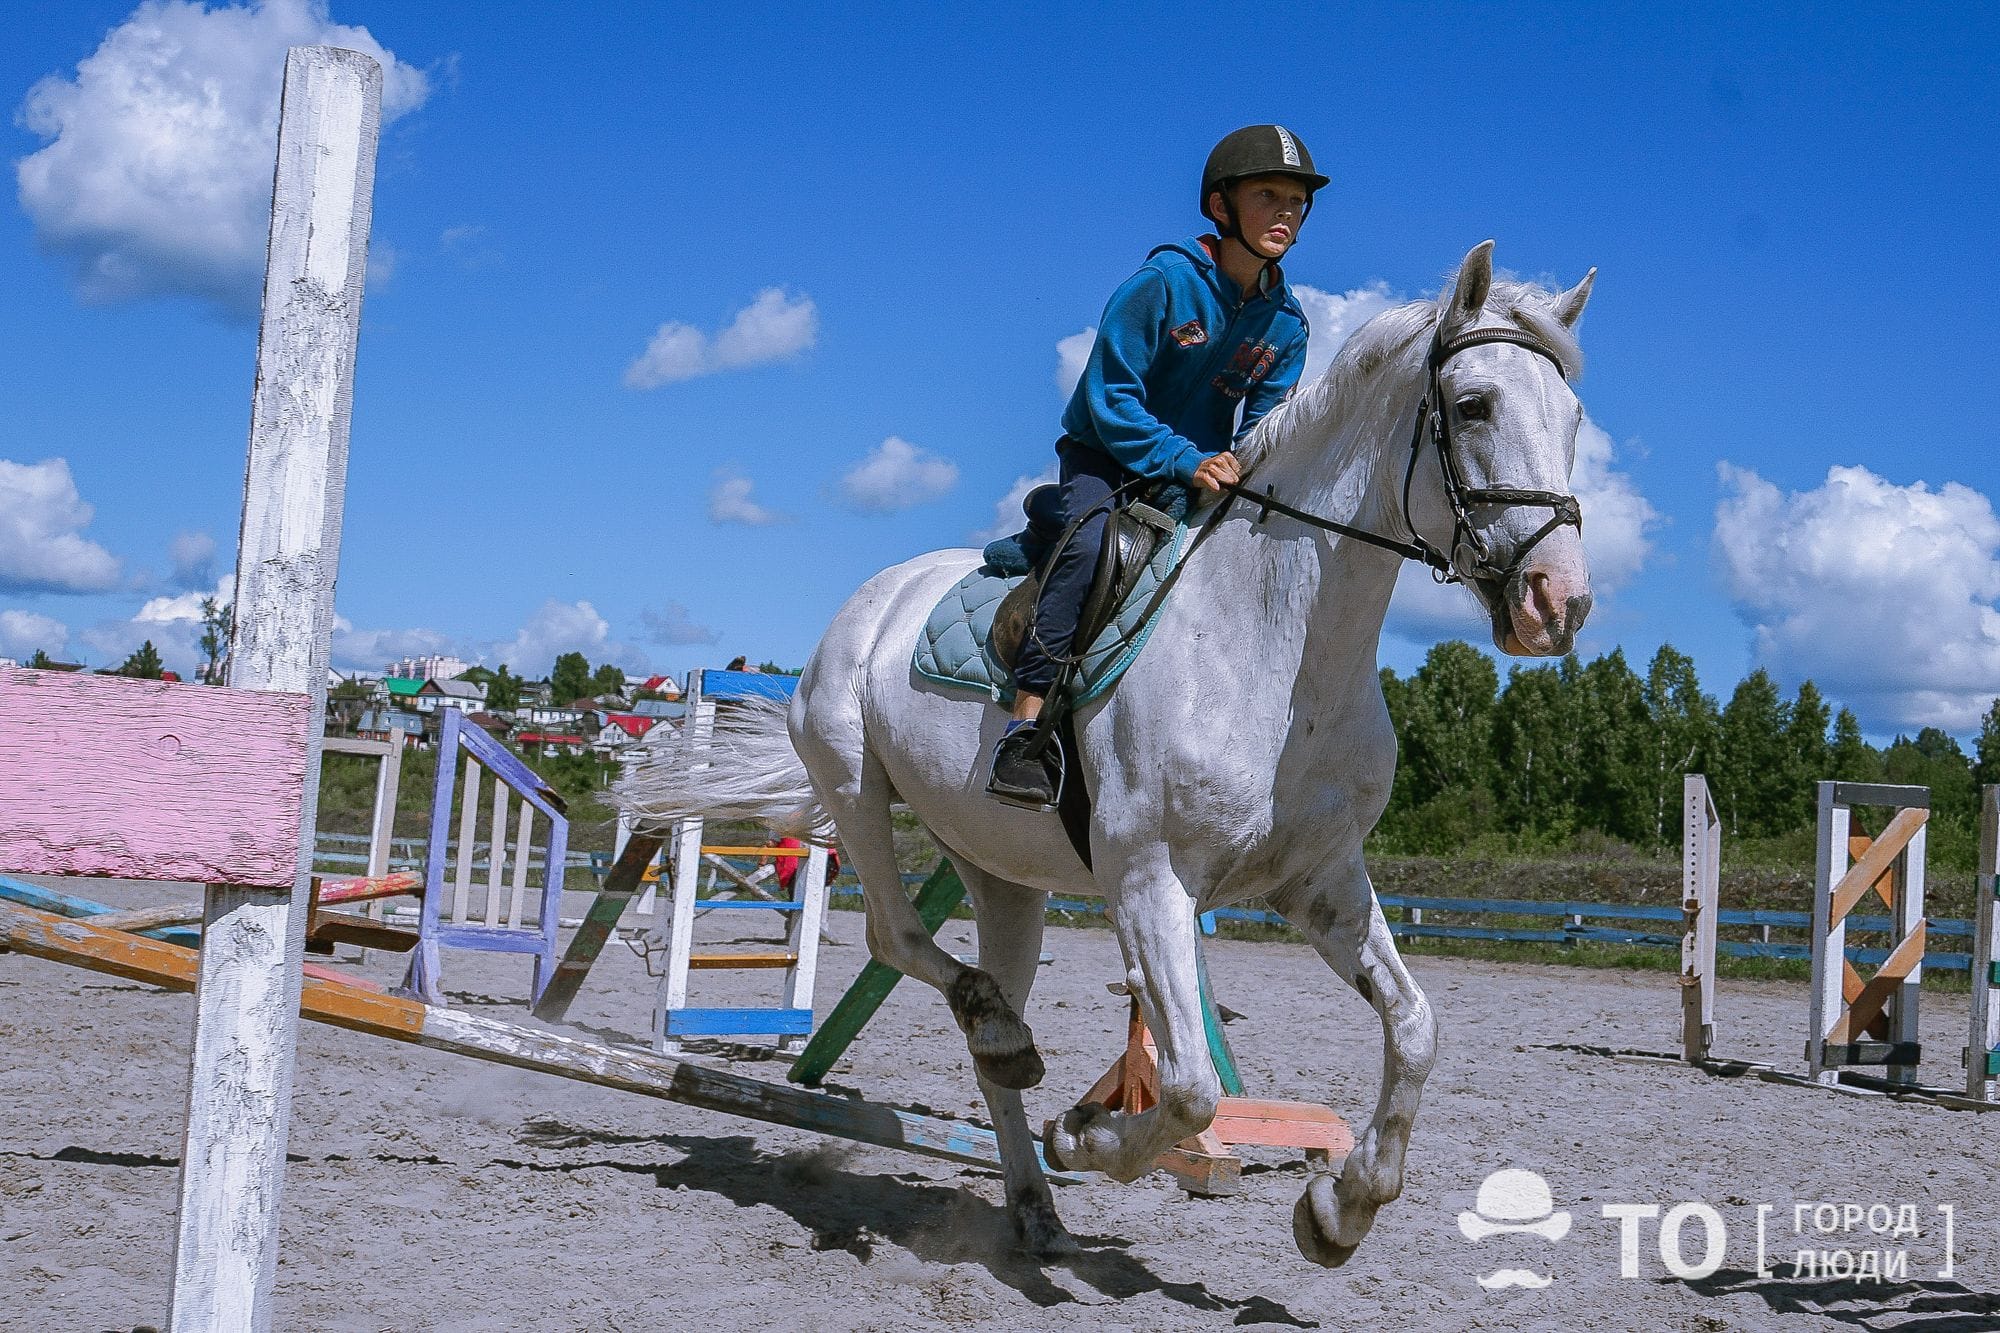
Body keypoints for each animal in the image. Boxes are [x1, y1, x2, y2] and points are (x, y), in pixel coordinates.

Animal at [624, 244, 1592, 1264]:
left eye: (1573, 418)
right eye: (1475, 405)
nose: (1556, 603)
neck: (1282, 651)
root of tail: (875, 595)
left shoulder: (1321, 881)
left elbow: (1414, 1027)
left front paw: (1341, 1207)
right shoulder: (1149, 879)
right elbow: (1191, 1087)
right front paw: (1087, 1137)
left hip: (1001, 874)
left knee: (987, 1038)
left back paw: (1028, 1179)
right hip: (853, 781)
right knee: (896, 933)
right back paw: (1009, 1060)